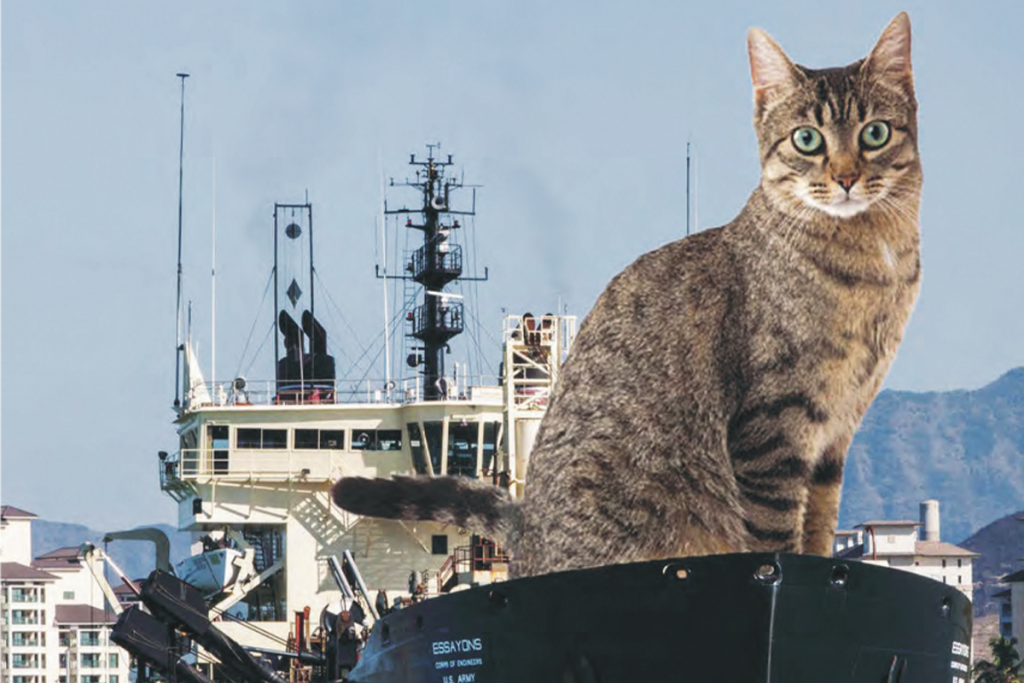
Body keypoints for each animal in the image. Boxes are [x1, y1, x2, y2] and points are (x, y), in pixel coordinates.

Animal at [331, 12, 925, 577]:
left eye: (875, 133)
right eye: (807, 139)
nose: (846, 177)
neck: (870, 259)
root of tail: (525, 535)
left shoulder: (835, 436)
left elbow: (819, 529)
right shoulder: (773, 427)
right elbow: (775, 534)